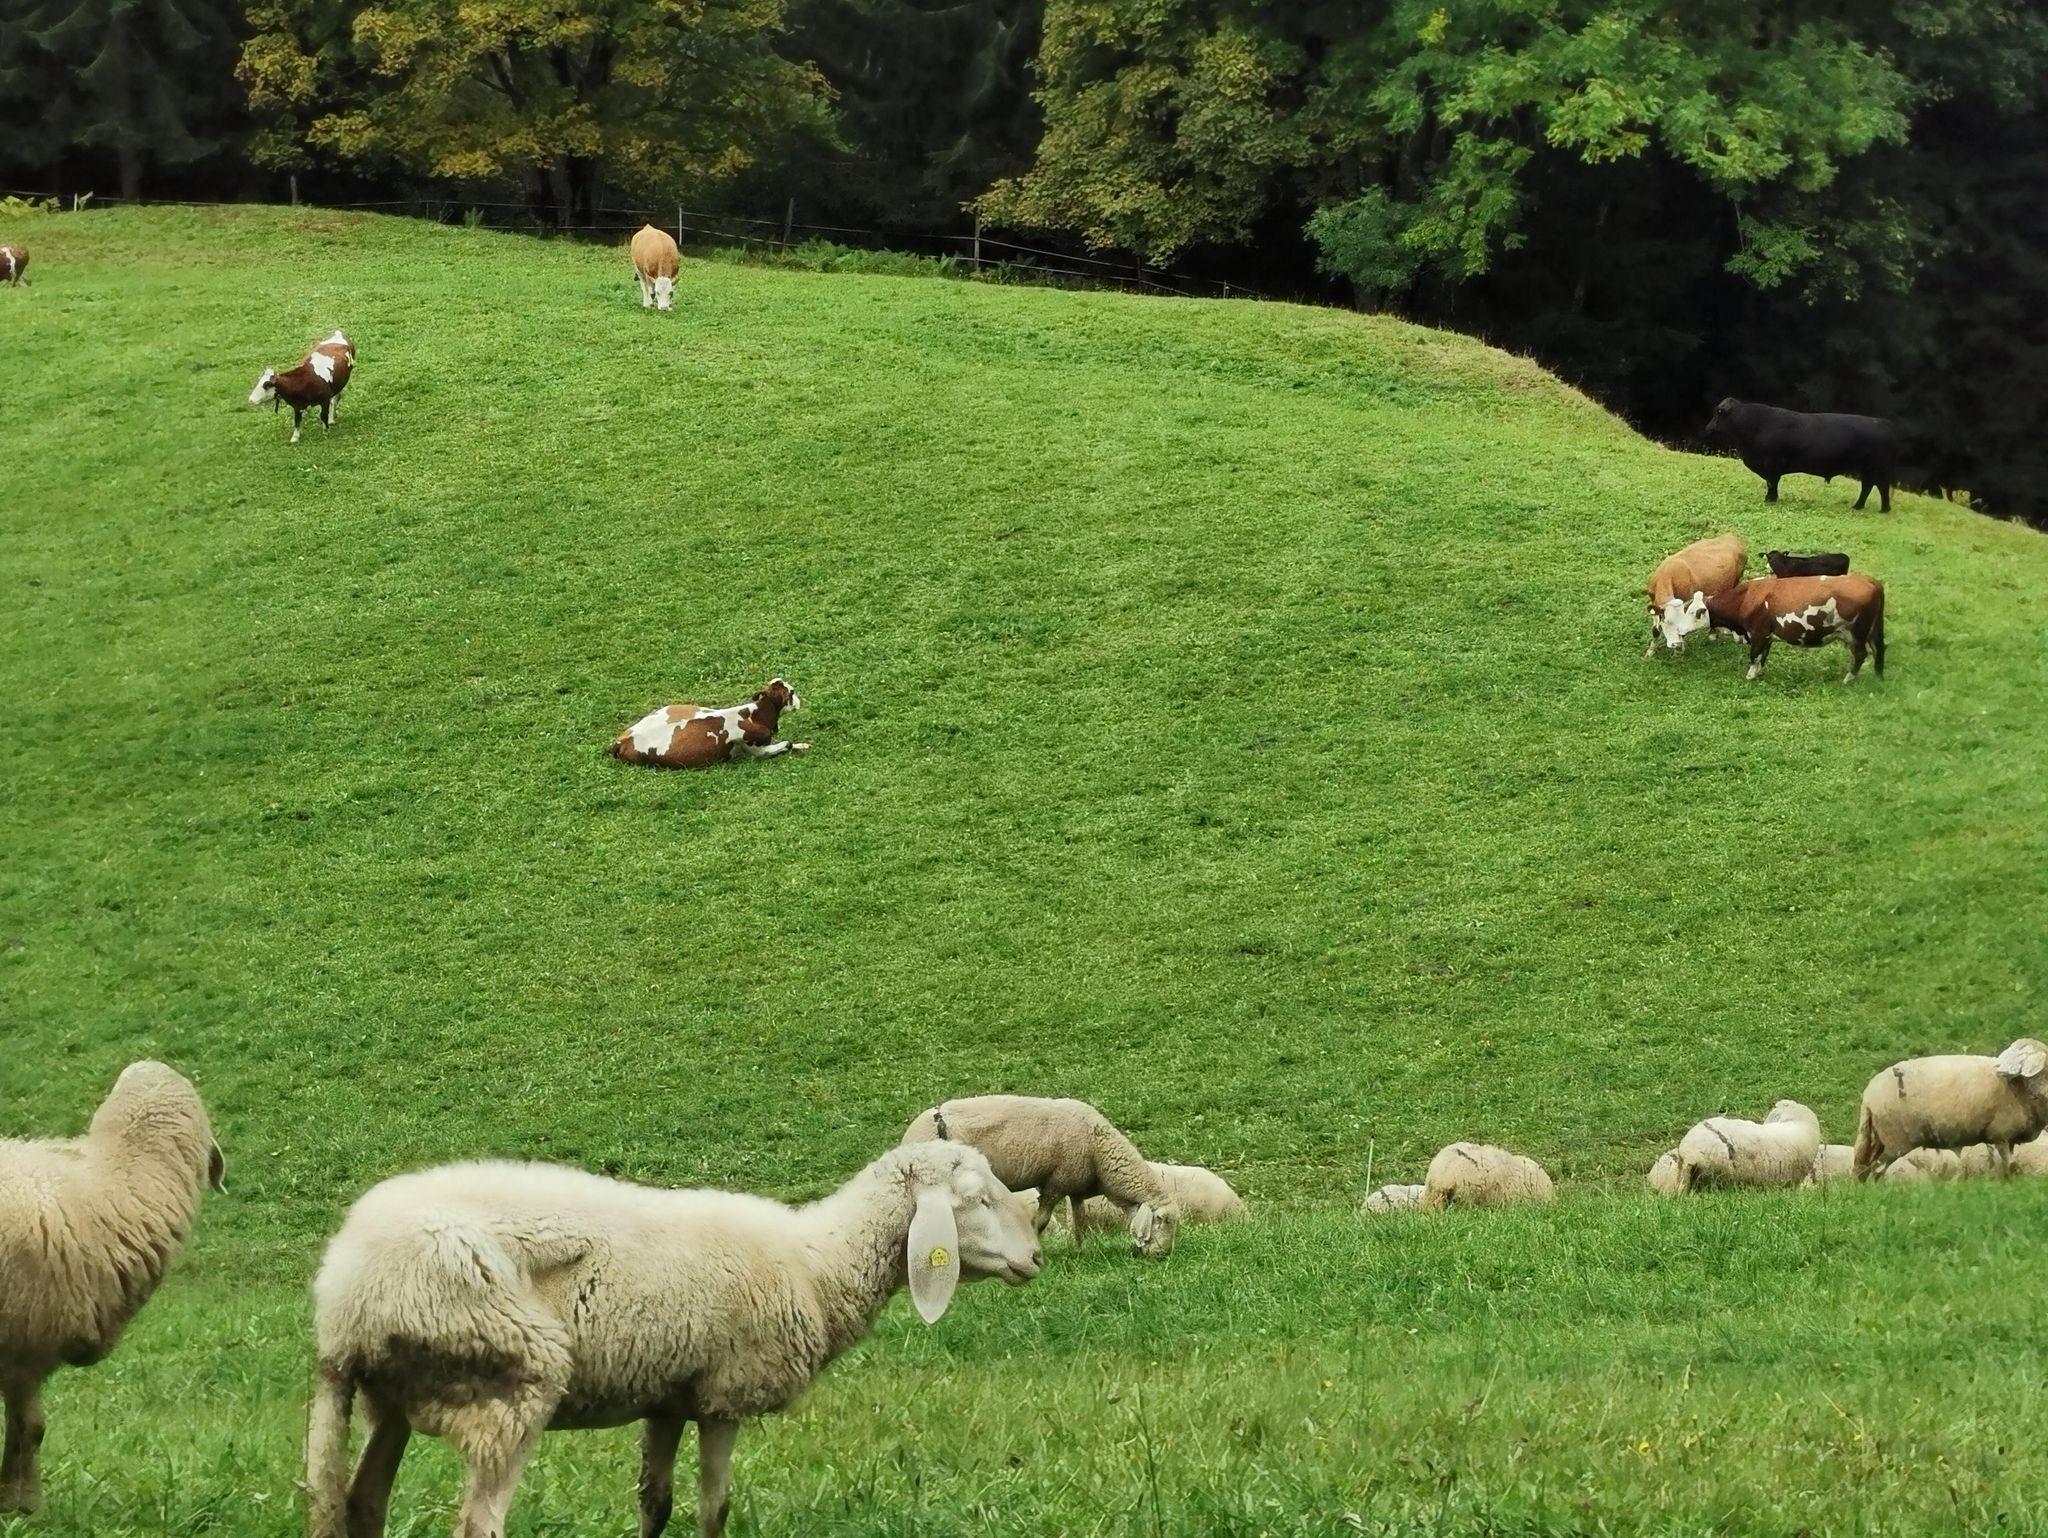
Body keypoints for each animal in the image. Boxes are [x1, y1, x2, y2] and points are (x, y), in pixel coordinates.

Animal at [307, 1140, 1040, 1538]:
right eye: (976, 1200)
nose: (1035, 1257)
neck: (817, 1260)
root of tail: (346, 1294)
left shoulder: (665, 1395)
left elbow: (655, 1505)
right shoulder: (722, 1399)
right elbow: (715, 1509)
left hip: (396, 1396)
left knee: (361, 1501)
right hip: (509, 1379)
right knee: (478, 1522)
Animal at [902, 1096, 1180, 1257]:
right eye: (1162, 1220)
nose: (1162, 1255)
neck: (1099, 1149)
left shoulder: (1075, 1187)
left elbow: (1080, 1222)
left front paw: (1080, 1250)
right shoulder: (1055, 1183)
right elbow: (1042, 1220)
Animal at [1853, 1038, 2048, 1180]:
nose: (2004, 1069)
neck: (2021, 1087)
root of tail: (1869, 1096)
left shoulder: (2009, 1137)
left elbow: (2009, 1166)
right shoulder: (2000, 1134)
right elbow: (2011, 1166)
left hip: (1877, 1137)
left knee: (1863, 1168)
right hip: (1895, 1139)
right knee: (1877, 1169)